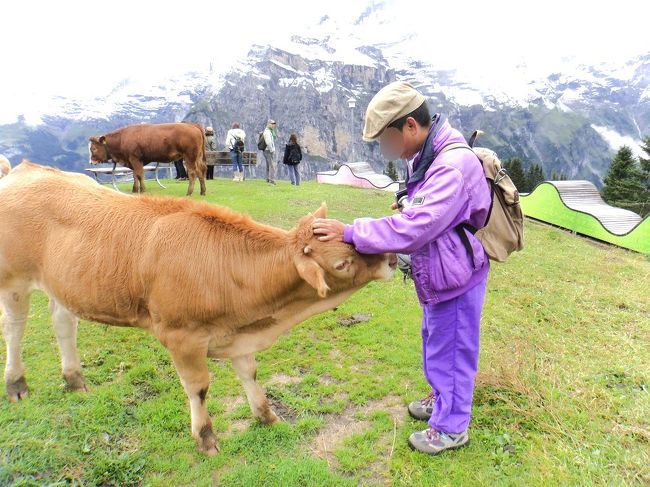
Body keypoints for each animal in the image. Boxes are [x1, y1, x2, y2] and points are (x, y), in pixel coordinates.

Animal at [0, 162, 394, 456]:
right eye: (342, 263)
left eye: (348, 235)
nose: (391, 258)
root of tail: (25, 169)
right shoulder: (181, 336)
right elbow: (199, 387)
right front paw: (206, 438)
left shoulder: (239, 333)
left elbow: (249, 373)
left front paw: (267, 416)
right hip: (14, 280)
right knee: (15, 328)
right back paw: (17, 384)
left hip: (63, 284)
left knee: (62, 324)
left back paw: (74, 380)